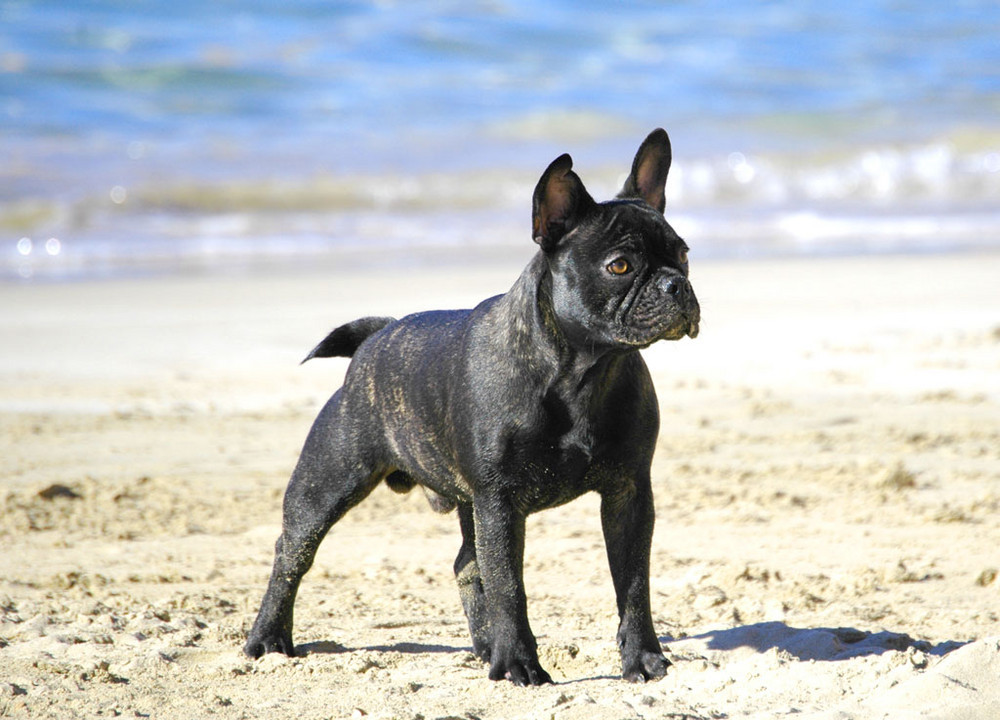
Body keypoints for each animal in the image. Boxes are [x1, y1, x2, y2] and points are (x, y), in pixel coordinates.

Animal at [245, 129, 700, 688]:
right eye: (621, 266)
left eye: (683, 256)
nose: (676, 284)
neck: (584, 370)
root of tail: (376, 337)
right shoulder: (499, 504)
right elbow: (509, 586)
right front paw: (520, 664)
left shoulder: (628, 495)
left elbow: (633, 585)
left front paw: (642, 658)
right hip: (326, 484)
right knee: (292, 554)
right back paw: (268, 638)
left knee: (466, 562)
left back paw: (486, 648)